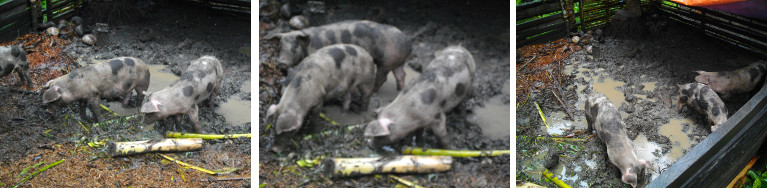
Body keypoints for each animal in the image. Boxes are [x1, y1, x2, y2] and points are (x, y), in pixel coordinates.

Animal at [266, 20, 412, 91]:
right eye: (280, 47)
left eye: (295, 47)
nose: (282, 62)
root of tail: (408, 42)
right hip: (396, 62)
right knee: (401, 74)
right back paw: (399, 89)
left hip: (387, 61)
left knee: (382, 78)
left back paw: (376, 91)